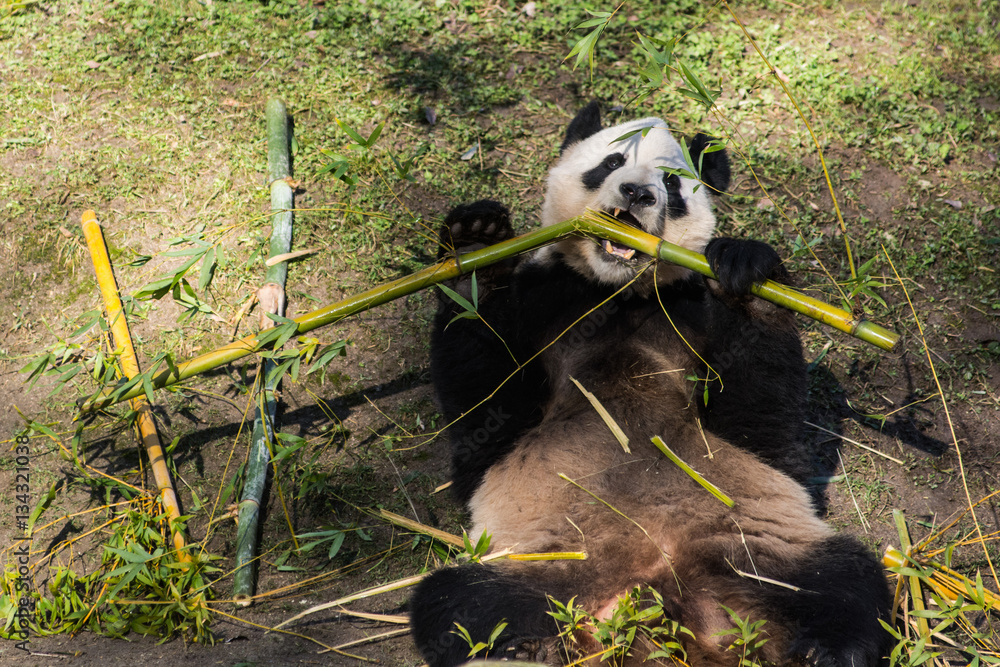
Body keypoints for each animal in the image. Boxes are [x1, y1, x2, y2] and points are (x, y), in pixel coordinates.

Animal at [410, 102, 890, 667]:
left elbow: (762, 423)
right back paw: (525, 649)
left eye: (673, 185)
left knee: (843, 582)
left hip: (761, 549)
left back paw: (825, 651)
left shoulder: (688, 309)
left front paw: (747, 273)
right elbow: (485, 415)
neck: (619, 294)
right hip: (546, 563)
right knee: (462, 602)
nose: (638, 193)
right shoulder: (548, 301)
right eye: (612, 161)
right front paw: (475, 246)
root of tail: (655, 610)